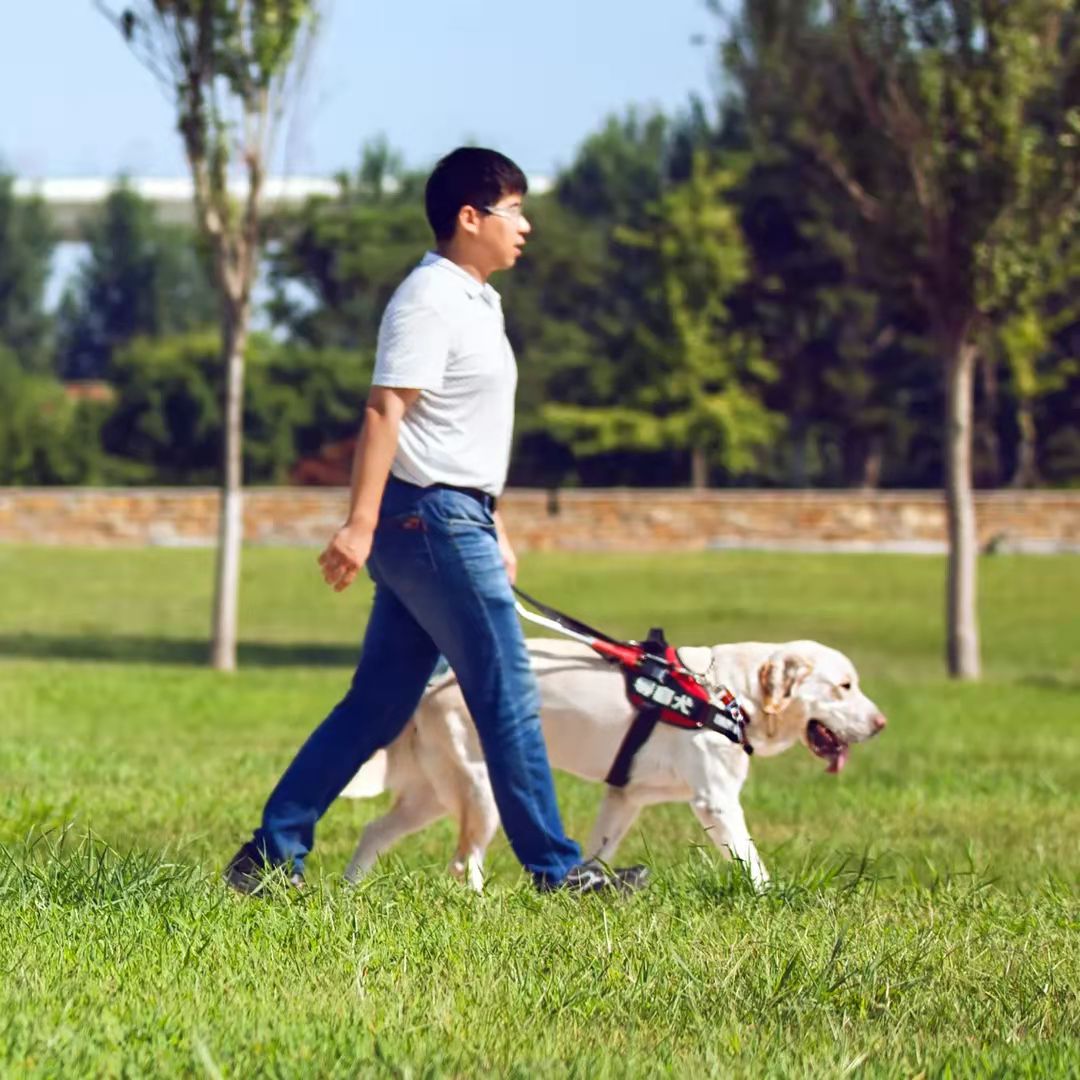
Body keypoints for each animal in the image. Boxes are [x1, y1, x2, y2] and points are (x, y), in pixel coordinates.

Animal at [341, 635, 889, 889]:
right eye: (844, 686)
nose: (882, 723)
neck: (730, 693)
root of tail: (437, 680)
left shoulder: (625, 798)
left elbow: (597, 851)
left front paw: (586, 886)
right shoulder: (716, 802)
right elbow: (752, 863)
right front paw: (771, 898)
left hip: (433, 794)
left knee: (374, 830)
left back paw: (349, 888)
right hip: (481, 787)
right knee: (463, 860)